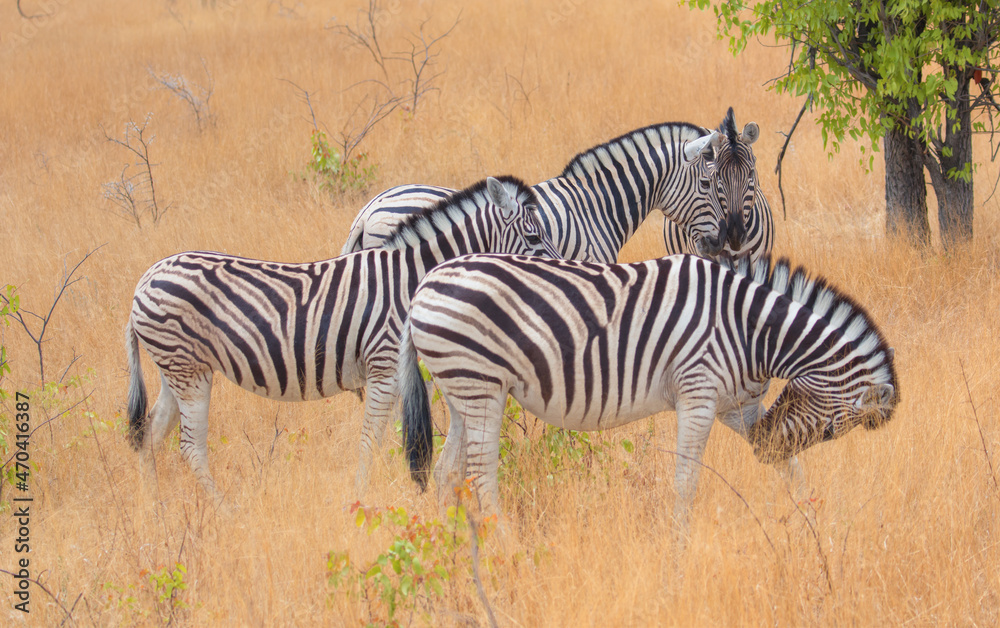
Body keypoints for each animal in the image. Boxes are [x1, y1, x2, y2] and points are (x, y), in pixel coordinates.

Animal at [123, 177, 564, 500]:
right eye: (534, 239)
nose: (563, 272)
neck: (408, 278)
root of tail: (145, 279)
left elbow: (400, 434)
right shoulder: (384, 366)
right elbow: (371, 440)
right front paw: (361, 498)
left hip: (176, 370)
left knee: (151, 435)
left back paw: (153, 508)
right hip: (188, 371)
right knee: (189, 447)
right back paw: (223, 509)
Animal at [398, 253, 900, 552]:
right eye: (831, 431)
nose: (762, 447)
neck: (751, 330)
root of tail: (424, 284)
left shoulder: (737, 406)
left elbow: (793, 471)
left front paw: (814, 526)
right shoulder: (699, 395)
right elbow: (685, 483)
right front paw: (678, 550)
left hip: (465, 391)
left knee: (447, 473)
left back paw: (453, 545)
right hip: (480, 385)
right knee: (481, 476)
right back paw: (508, 547)